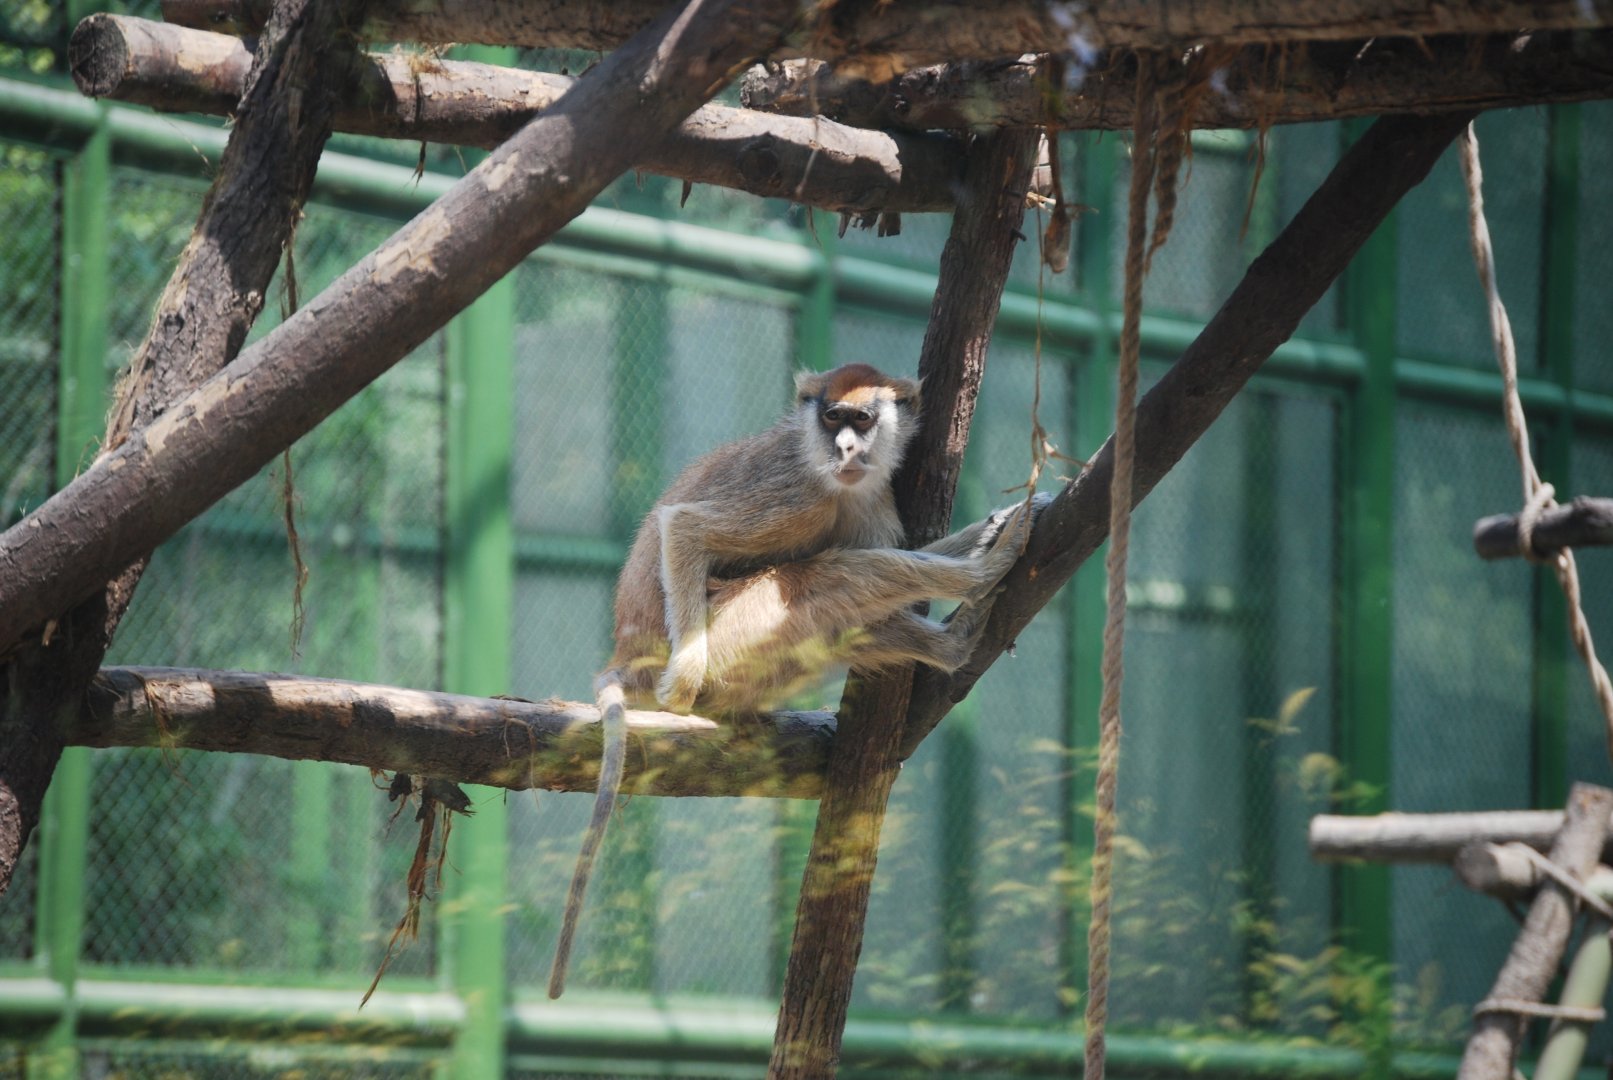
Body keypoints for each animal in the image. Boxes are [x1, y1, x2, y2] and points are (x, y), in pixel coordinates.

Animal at [547, 363, 1040, 998]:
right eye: (832, 417)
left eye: (862, 419)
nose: (847, 448)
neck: (823, 464)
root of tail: (629, 657)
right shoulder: (797, 496)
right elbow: (685, 528)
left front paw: (991, 527)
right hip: (735, 630)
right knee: (820, 578)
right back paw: (982, 581)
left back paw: (955, 639)